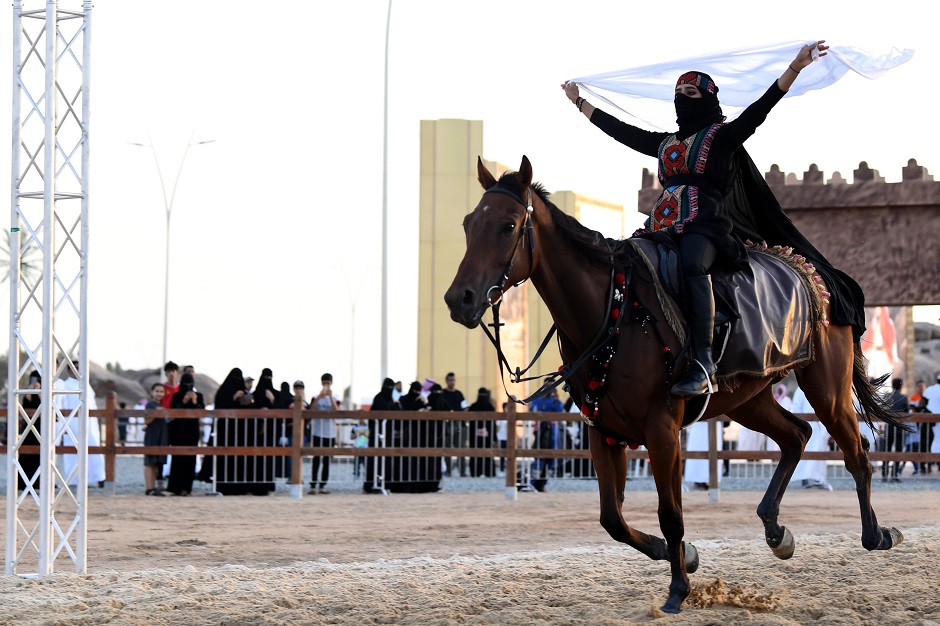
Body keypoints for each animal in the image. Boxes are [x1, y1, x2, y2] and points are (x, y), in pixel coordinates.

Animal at [444, 154, 908, 612]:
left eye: (508, 225)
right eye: (468, 223)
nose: (458, 299)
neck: (613, 309)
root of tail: (811, 269)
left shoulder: (661, 431)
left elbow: (670, 513)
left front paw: (678, 588)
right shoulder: (602, 431)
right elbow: (613, 519)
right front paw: (683, 555)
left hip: (826, 390)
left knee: (856, 454)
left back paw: (877, 534)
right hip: (747, 398)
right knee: (797, 435)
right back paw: (777, 531)